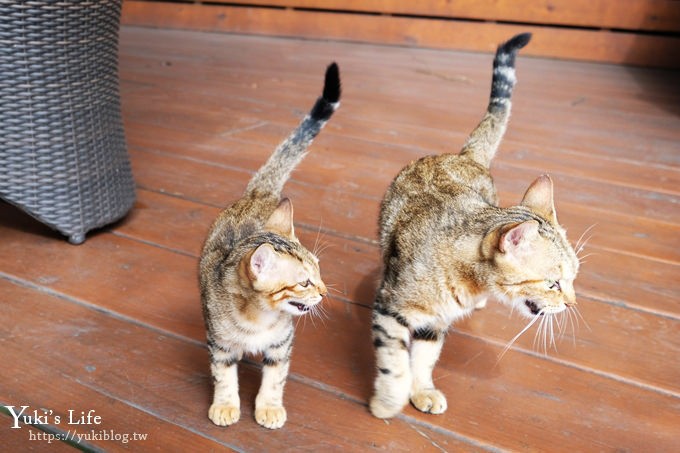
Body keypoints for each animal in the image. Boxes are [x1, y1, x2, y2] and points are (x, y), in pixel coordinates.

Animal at [201, 62, 340, 428]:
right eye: (304, 282)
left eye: (319, 272)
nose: (324, 292)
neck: (258, 320)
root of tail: (258, 193)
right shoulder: (220, 344)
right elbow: (223, 376)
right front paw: (225, 404)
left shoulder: (281, 344)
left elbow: (275, 378)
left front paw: (268, 407)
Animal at [370, 33, 580, 418]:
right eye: (554, 284)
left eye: (573, 279)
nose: (572, 304)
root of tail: (465, 156)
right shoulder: (391, 309)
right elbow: (395, 363)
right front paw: (388, 402)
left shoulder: (434, 323)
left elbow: (423, 359)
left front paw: (422, 390)